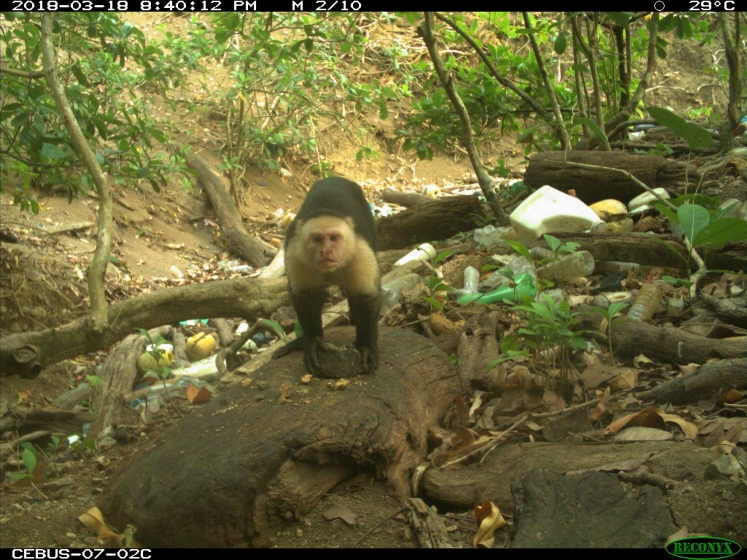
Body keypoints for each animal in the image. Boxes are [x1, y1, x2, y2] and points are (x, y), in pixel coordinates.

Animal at [272, 176, 381, 374]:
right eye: (317, 239)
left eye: (334, 238)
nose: (326, 251)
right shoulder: (295, 253)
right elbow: (305, 297)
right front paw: (313, 341)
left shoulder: (361, 252)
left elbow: (367, 297)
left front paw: (366, 346)